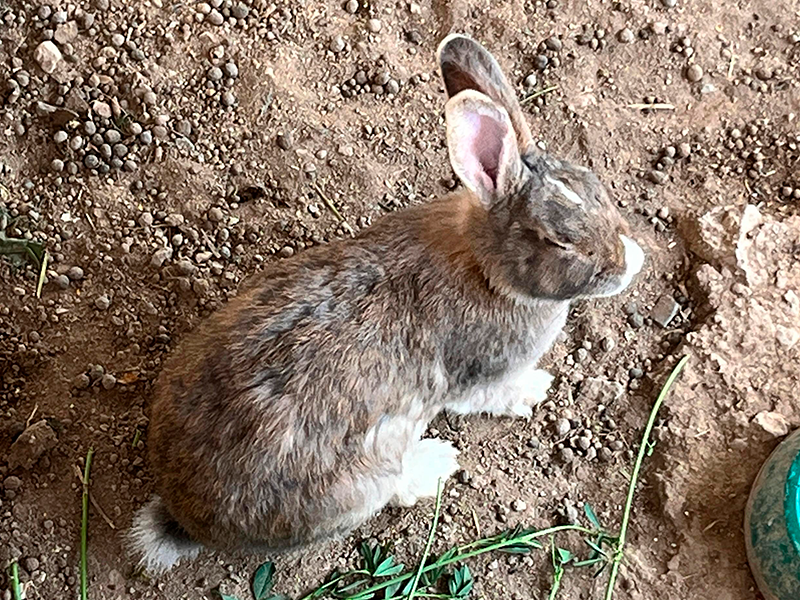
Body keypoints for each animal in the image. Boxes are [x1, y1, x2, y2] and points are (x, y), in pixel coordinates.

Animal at [128, 33, 645, 574]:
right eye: (557, 241)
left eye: (595, 185)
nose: (631, 263)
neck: (488, 270)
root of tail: (187, 519)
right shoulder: (478, 377)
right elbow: (490, 395)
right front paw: (533, 390)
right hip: (368, 475)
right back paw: (436, 463)